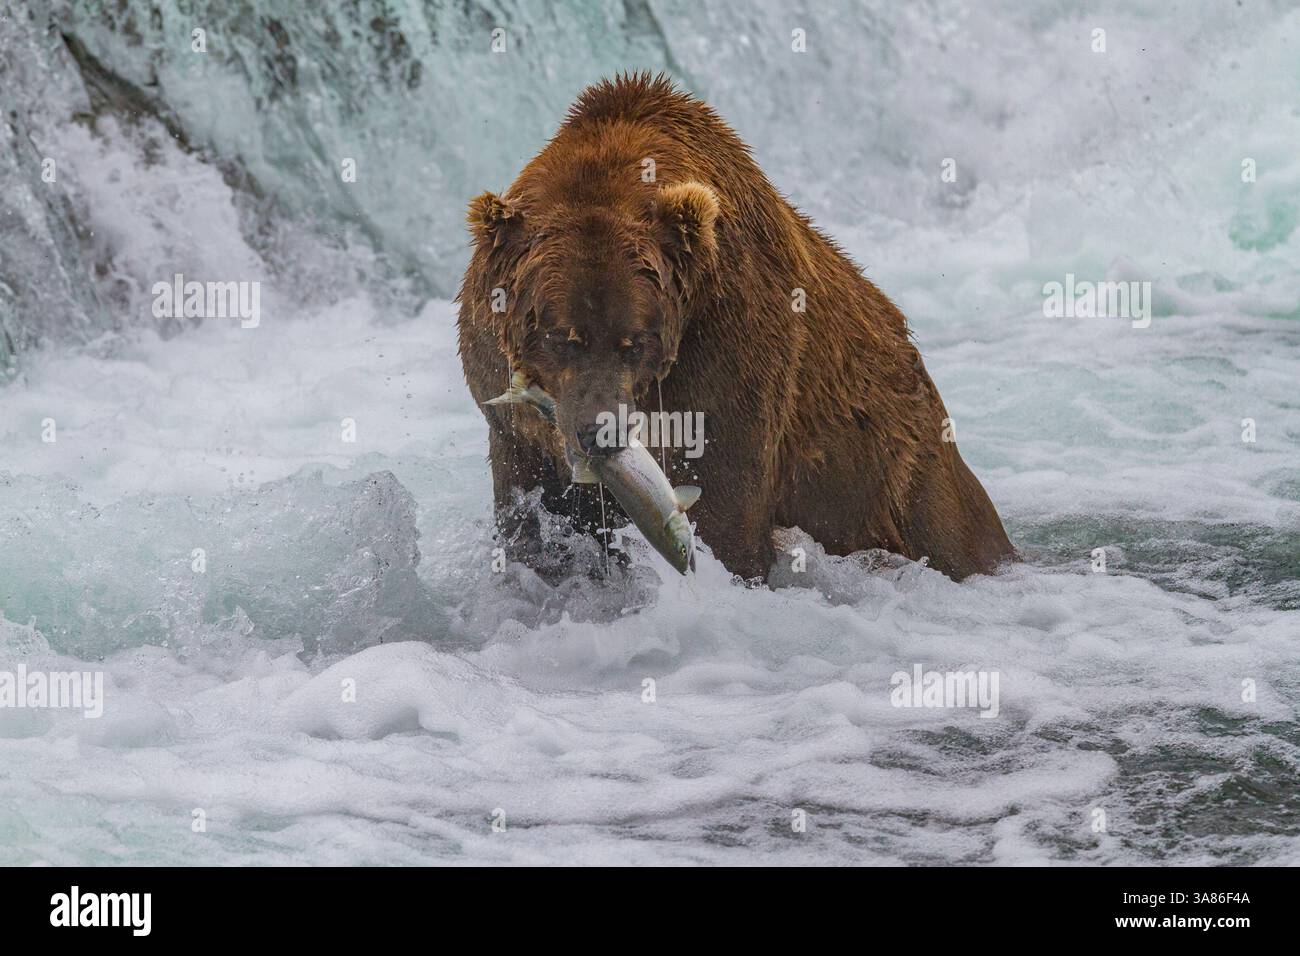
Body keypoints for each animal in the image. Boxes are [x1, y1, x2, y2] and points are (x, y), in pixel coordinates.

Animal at [457, 73, 1015, 582]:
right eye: (560, 337)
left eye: (633, 343)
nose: (601, 434)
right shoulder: (509, 418)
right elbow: (533, 516)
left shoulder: (726, 350)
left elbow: (725, 507)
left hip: (896, 473)